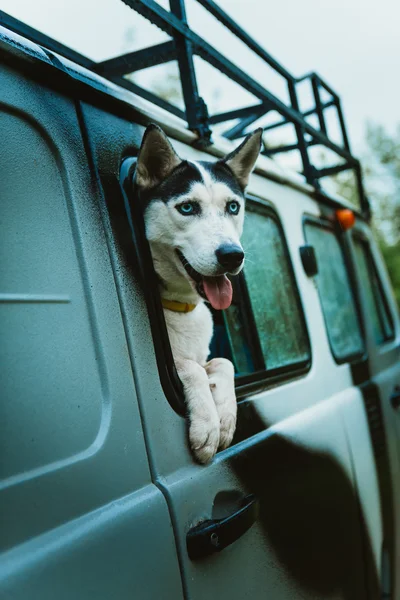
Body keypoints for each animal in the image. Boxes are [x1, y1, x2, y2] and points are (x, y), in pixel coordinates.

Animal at [136, 124, 264, 462]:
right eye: (187, 207)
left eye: (233, 206)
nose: (232, 255)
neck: (180, 306)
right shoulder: (174, 362)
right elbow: (189, 365)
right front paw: (207, 424)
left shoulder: (212, 356)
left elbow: (223, 362)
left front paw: (227, 418)